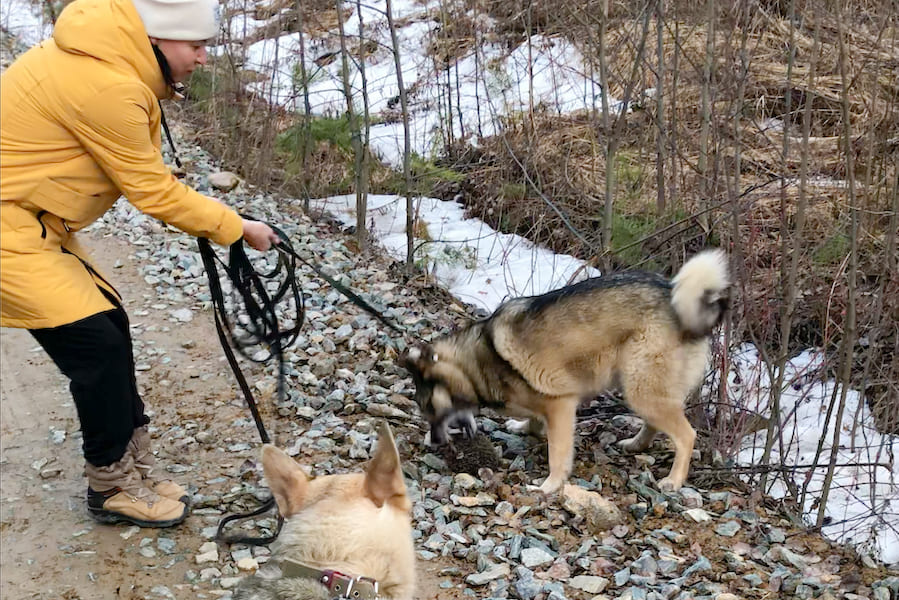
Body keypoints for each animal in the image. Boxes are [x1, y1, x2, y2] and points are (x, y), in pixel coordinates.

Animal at [400, 251, 732, 494]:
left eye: (432, 407)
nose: (433, 443)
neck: (478, 360)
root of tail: (678, 303)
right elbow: (534, 421)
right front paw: (525, 427)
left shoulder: (561, 405)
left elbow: (557, 454)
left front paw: (549, 485)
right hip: (640, 387)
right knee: (656, 424)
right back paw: (636, 445)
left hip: (642, 388)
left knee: (686, 435)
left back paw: (674, 480)